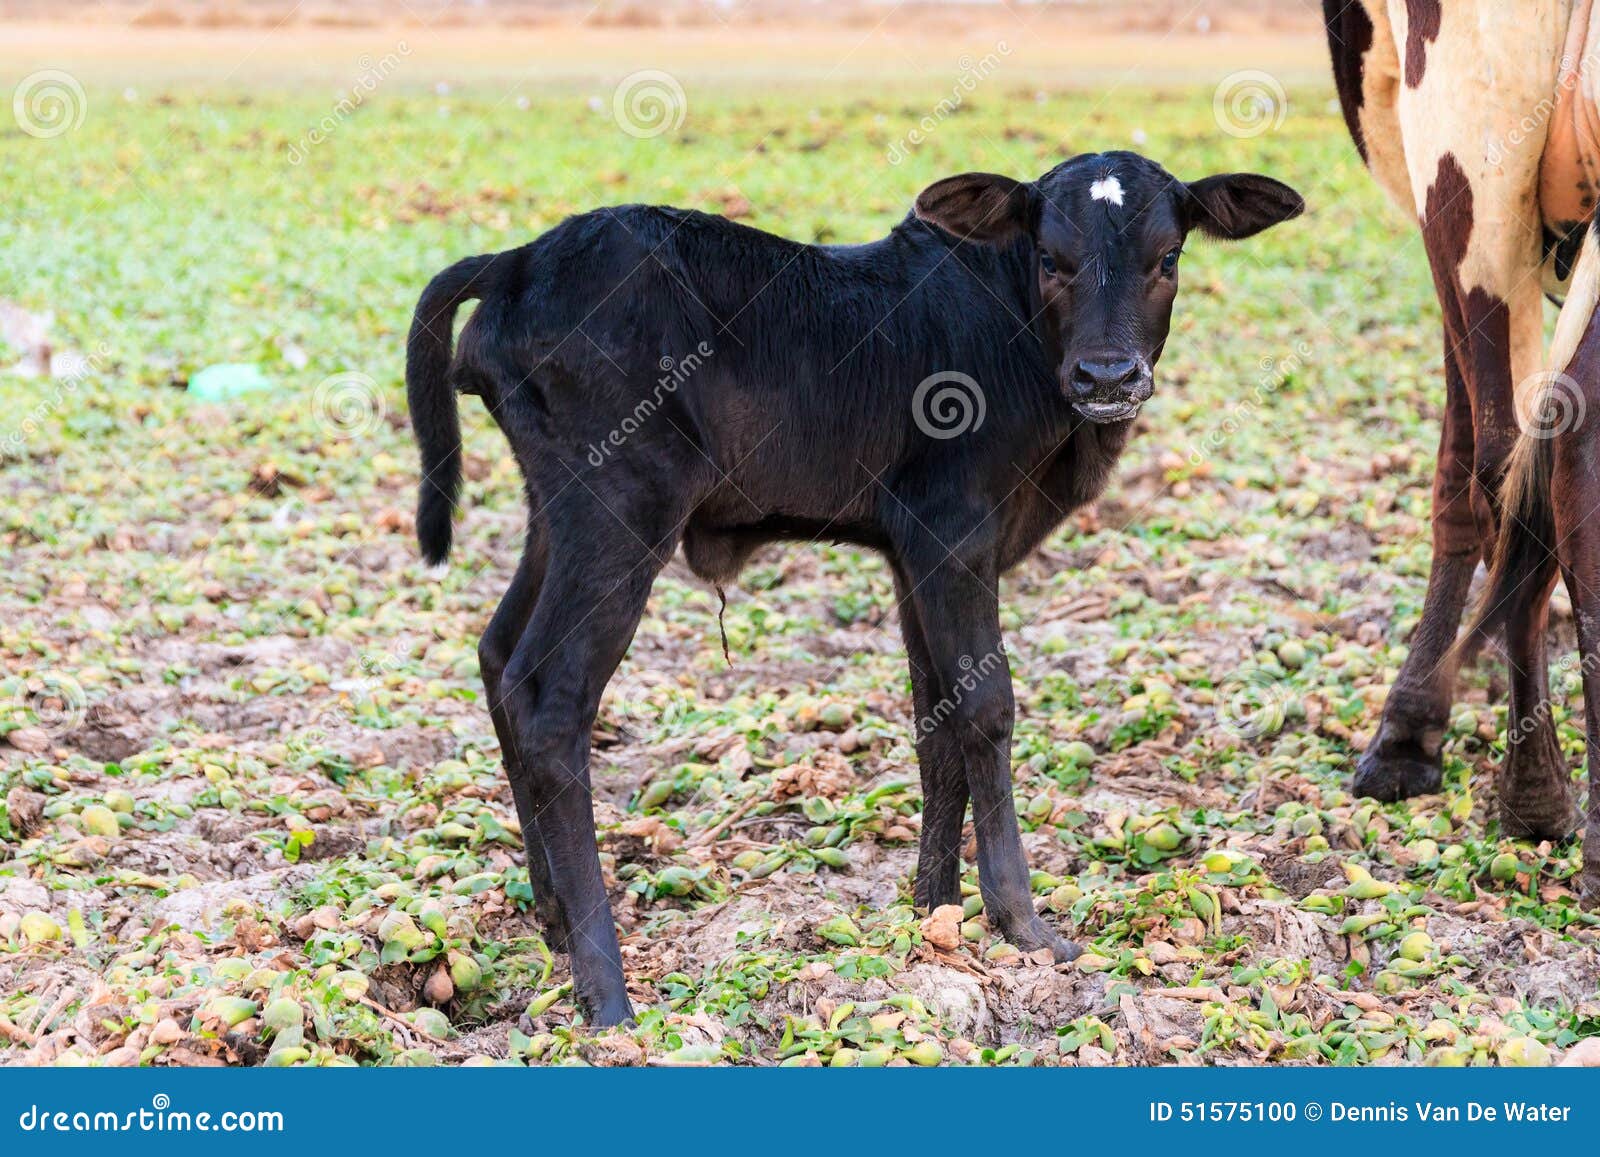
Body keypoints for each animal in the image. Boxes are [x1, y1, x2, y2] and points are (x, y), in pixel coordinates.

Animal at [409, 151, 1299, 1024]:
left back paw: (555, 921)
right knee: (550, 700)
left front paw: (935, 908)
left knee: (498, 656)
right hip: (620, 507)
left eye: (1169, 257)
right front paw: (1022, 920)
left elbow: (936, 720)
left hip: (557, 512)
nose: (1108, 376)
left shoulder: (913, 554)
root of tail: (520, 259)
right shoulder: (952, 531)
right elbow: (988, 708)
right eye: (1051, 258)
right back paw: (607, 990)